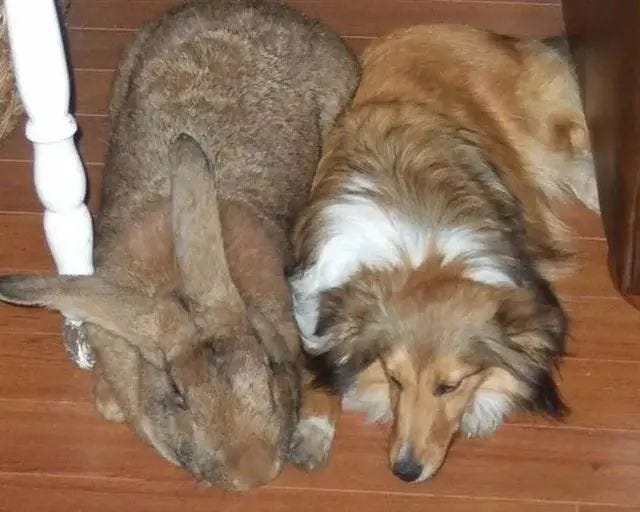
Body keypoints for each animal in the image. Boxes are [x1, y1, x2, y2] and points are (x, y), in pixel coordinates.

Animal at [290, 25, 600, 480]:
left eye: (449, 385)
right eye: (394, 379)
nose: (405, 472)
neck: (421, 252)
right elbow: (317, 368)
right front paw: (312, 431)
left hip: (549, 133)